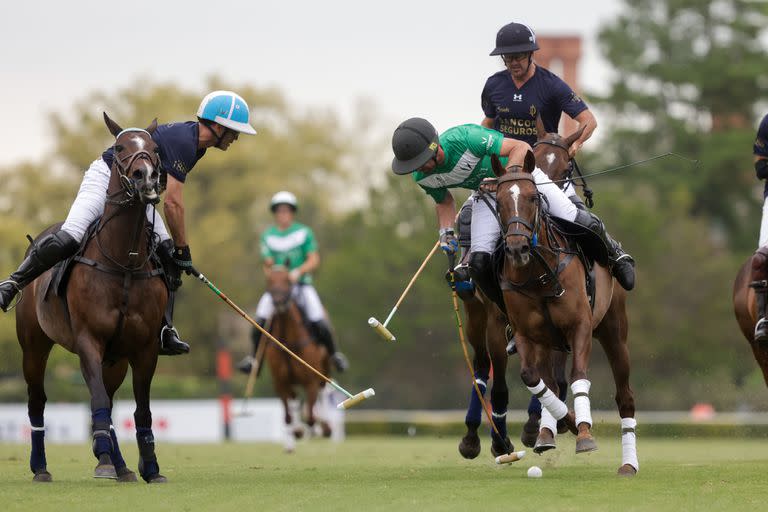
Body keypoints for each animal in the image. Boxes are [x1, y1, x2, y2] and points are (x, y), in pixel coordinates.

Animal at [15, 115, 168, 484]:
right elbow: (96, 398)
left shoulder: (144, 348)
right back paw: (41, 467)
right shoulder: (89, 340)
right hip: (34, 346)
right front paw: (102, 457)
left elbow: (141, 409)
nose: (145, 177)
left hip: (116, 358)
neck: (125, 260)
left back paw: (123, 467)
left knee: (110, 404)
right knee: (37, 401)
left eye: (154, 148)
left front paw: (150, 466)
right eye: (119, 147)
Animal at [262, 266, 332, 450]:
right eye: (269, 280)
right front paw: (296, 432)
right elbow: (288, 416)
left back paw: (325, 427)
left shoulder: (310, 382)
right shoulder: (280, 382)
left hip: (324, 368)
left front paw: (316, 429)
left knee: (324, 390)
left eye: (287, 280)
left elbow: (311, 417)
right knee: (294, 402)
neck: (289, 341)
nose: (278, 301)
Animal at [492, 152, 636, 476]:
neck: (538, 275)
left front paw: (584, 433)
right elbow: (533, 378)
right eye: (499, 200)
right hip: (551, 343)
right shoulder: (526, 333)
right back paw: (547, 432)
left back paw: (629, 464)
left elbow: (579, 377)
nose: (517, 248)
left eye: (533, 196)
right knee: (552, 382)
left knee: (625, 396)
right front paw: (564, 424)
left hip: (613, 331)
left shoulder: (579, 325)